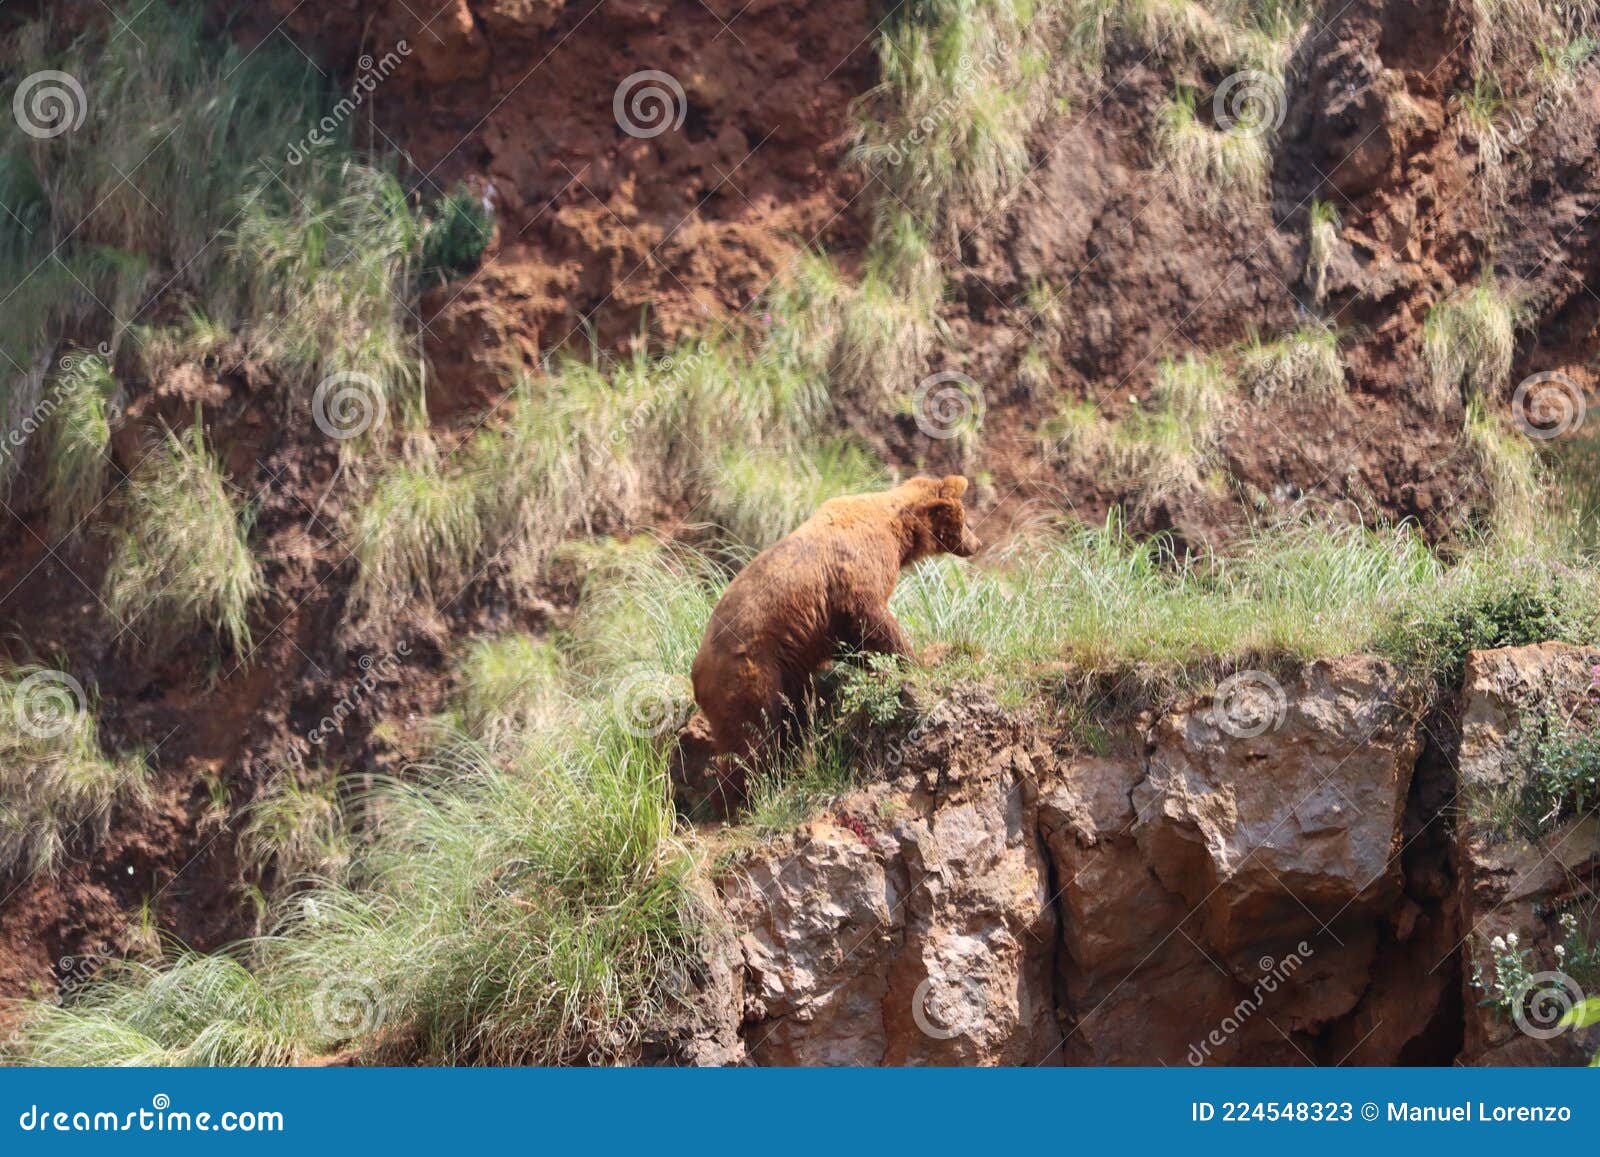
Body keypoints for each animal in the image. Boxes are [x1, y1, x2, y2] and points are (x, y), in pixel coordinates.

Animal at [684, 473, 979, 784]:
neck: (899, 530)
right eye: (964, 519)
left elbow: (852, 643)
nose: (977, 543)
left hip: (784, 673)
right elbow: (873, 621)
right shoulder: (854, 573)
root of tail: (696, 675)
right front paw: (915, 660)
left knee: (792, 719)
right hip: (749, 673)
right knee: (754, 737)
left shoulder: (825, 623)